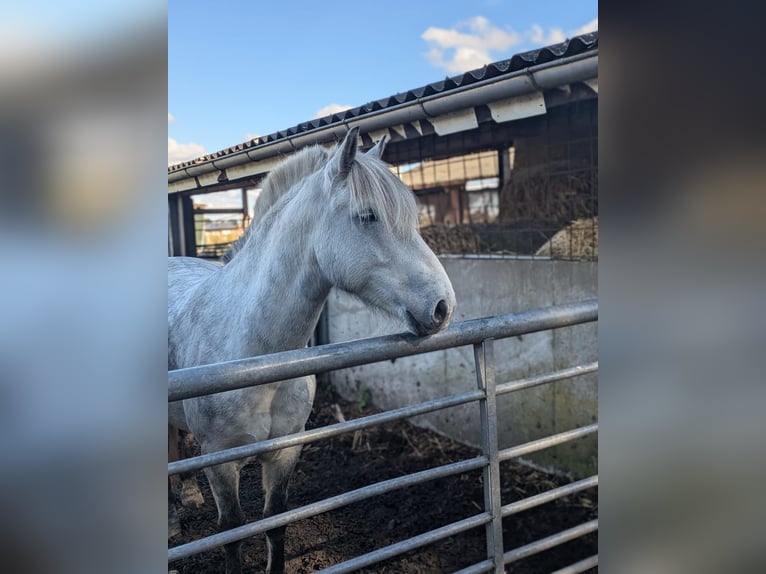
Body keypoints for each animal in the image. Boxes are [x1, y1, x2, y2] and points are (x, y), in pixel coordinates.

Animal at [168, 126, 456, 574]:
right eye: (368, 216)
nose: (444, 306)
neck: (254, 360)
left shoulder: (287, 449)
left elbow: (275, 522)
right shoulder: (218, 460)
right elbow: (232, 532)